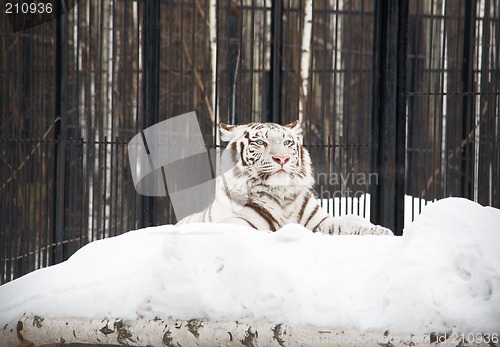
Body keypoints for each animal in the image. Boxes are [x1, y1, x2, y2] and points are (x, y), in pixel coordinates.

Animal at [178, 120, 392, 237]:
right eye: (260, 142)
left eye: (287, 142)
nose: (282, 158)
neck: (282, 196)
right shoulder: (240, 223)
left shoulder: (318, 222)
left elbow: (349, 221)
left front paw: (380, 231)